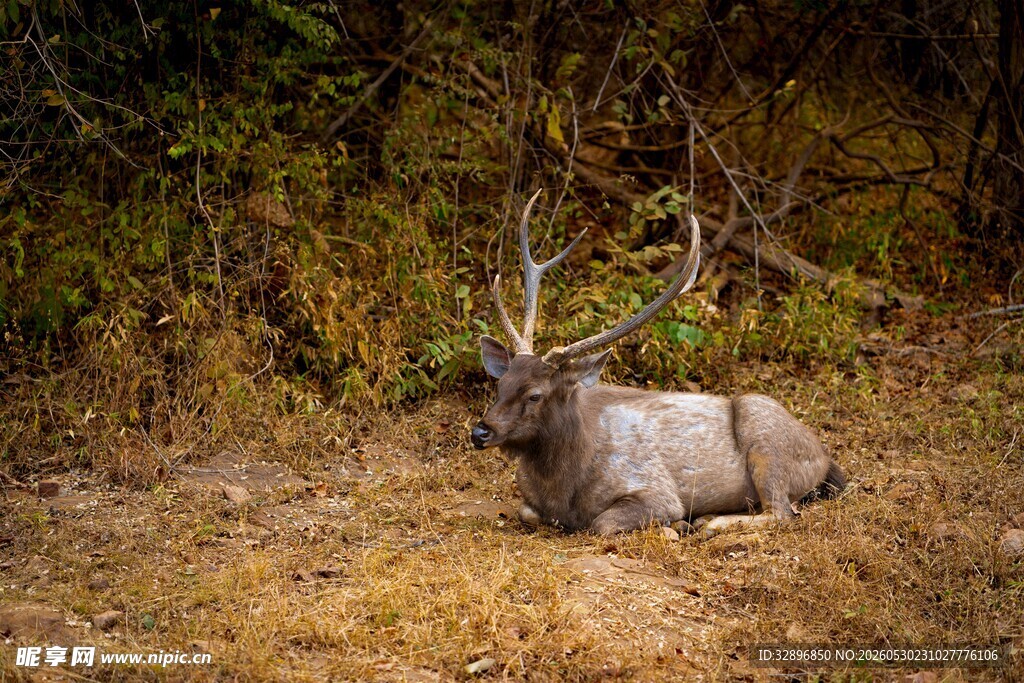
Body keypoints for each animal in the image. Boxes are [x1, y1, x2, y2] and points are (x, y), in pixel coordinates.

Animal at [471, 190, 845, 537]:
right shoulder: (531, 503)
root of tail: (824, 458)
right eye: (500, 384)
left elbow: (602, 523)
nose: (480, 431)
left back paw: (709, 522)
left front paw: (674, 526)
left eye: (535, 394)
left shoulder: (655, 489)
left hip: (766, 436)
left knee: (783, 512)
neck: (564, 488)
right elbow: (525, 511)